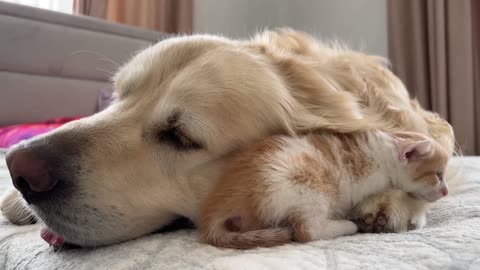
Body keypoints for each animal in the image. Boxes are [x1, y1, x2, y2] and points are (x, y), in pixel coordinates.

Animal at [199, 130, 450, 249]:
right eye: (438, 175)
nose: (445, 191)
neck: (382, 156)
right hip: (310, 187)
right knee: (307, 230)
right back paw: (347, 226)